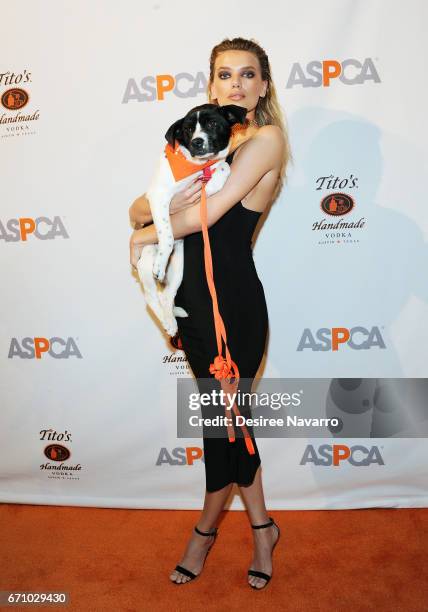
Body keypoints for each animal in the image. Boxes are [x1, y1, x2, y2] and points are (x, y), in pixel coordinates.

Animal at [135, 103, 246, 338]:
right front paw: (162, 259)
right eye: (187, 130)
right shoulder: (158, 196)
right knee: (151, 298)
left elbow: (224, 167)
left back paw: (172, 320)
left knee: (166, 296)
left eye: (212, 123)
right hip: (146, 262)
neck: (195, 166)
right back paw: (166, 319)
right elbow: (167, 234)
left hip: (179, 268)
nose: (197, 142)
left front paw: (214, 183)